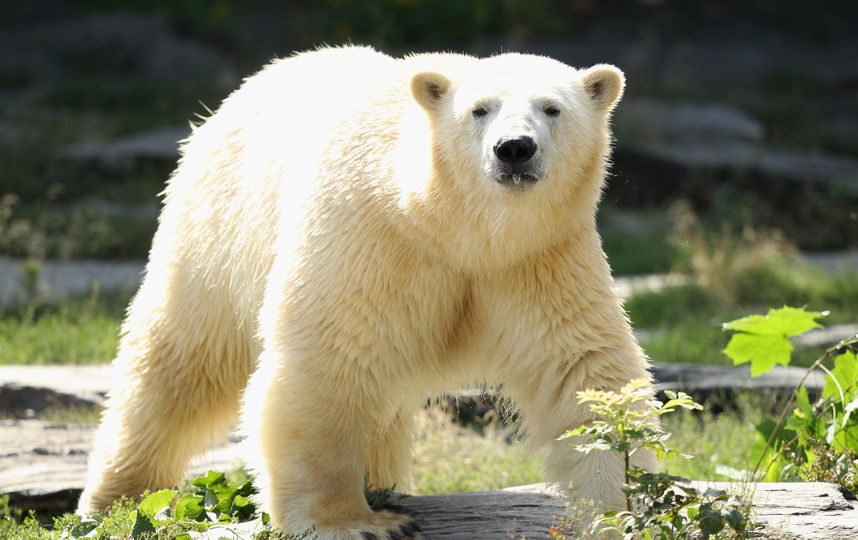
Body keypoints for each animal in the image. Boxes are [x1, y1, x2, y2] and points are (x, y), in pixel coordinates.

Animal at [77, 45, 657, 539]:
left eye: (552, 108)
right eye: (479, 110)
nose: (514, 149)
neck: (454, 226)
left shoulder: (540, 258)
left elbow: (583, 372)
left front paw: (625, 511)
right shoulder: (371, 237)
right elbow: (331, 360)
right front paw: (357, 523)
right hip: (215, 228)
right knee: (178, 363)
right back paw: (114, 498)